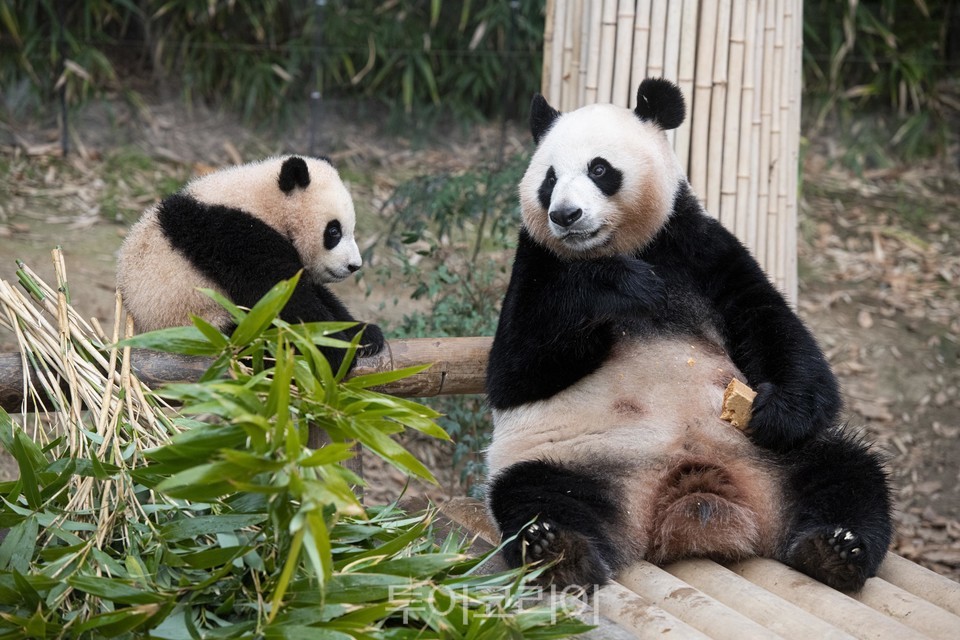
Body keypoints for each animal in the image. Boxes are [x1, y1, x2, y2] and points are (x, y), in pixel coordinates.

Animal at [121, 154, 386, 370]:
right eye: (334, 231)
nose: (354, 266)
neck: (261, 203)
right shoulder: (234, 237)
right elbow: (282, 298)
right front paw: (333, 350)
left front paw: (364, 334)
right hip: (195, 322)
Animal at [484, 79, 896, 592]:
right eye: (549, 178)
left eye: (599, 169)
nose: (565, 215)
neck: (620, 247)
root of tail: (694, 497)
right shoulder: (537, 261)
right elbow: (513, 371)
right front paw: (620, 287)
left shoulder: (700, 247)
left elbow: (774, 327)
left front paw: (779, 410)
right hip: (576, 459)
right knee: (535, 494)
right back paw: (558, 551)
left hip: (773, 460)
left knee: (847, 473)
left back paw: (835, 550)